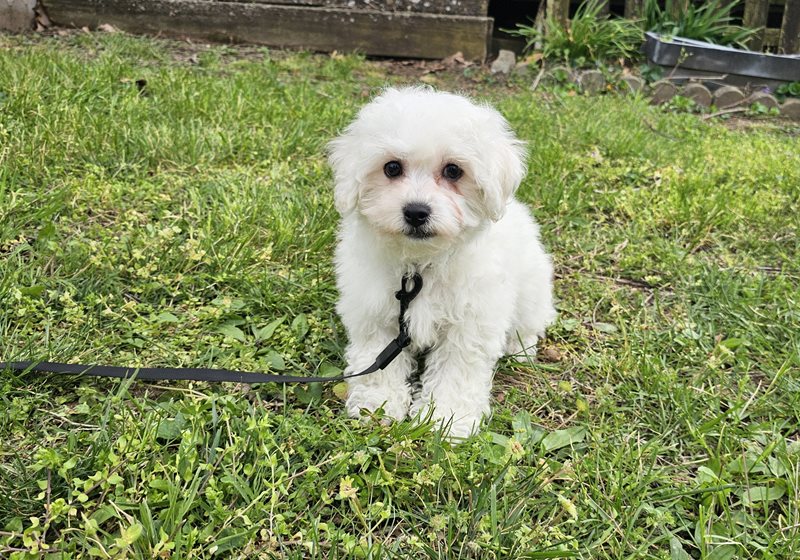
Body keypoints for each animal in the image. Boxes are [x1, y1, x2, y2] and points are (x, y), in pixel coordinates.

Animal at [328, 87, 556, 439]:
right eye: (391, 168)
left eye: (453, 171)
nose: (416, 211)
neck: (420, 265)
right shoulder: (376, 315)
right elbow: (377, 360)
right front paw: (377, 405)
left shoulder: (470, 322)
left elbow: (457, 369)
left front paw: (448, 418)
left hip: (532, 286)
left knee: (530, 320)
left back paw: (520, 346)